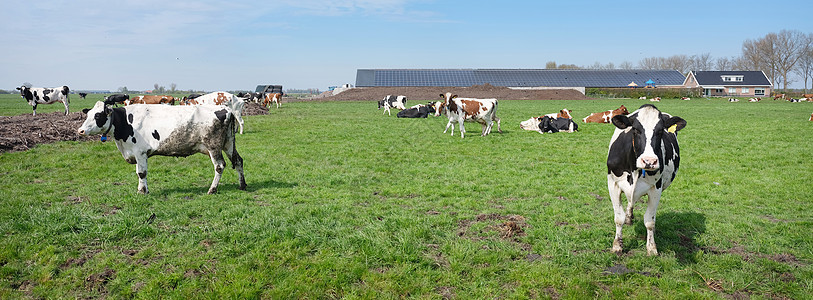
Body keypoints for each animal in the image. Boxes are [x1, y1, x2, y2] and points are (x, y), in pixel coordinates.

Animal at [604, 103, 684, 255]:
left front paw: (651, 248)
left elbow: (650, 221)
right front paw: (617, 245)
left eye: (660, 131)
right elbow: (618, 218)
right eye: (635, 129)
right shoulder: (613, 184)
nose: (649, 161)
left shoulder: (656, 188)